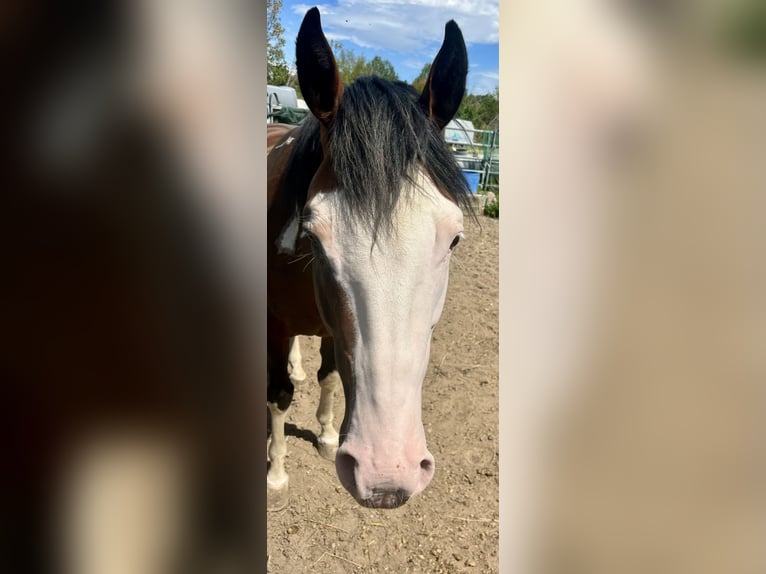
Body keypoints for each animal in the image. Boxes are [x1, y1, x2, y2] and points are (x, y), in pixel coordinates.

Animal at [267, 7, 472, 511]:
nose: (386, 475)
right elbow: (278, 396)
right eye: (313, 235)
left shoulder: (329, 327)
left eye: (454, 240)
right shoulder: (274, 325)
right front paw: (276, 475)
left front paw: (324, 434)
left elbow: (328, 375)